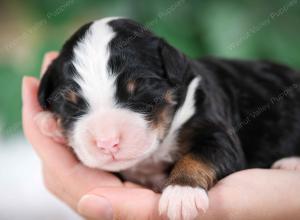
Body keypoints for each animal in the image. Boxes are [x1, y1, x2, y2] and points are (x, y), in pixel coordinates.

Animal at [37, 17, 300, 220]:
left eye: (139, 92)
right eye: (71, 103)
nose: (107, 143)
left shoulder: (213, 126)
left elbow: (202, 154)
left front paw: (182, 193)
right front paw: (49, 124)